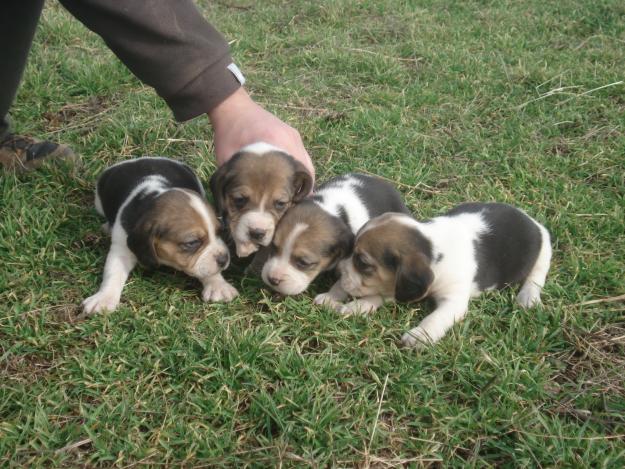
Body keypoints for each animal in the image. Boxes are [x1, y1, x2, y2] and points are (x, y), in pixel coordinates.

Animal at [81, 156, 238, 314]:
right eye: (192, 243)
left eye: (219, 231)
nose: (224, 259)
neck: (152, 195)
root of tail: (139, 159)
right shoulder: (121, 246)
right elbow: (113, 272)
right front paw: (104, 298)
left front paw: (218, 285)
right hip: (98, 202)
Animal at [336, 203, 552, 346]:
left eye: (362, 262)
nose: (339, 270)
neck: (433, 246)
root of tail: (531, 221)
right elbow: (380, 294)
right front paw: (357, 306)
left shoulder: (453, 301)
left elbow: (435, 318)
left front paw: (419, 336)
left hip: (544, 251)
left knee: (537, 275)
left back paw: (528, 297)